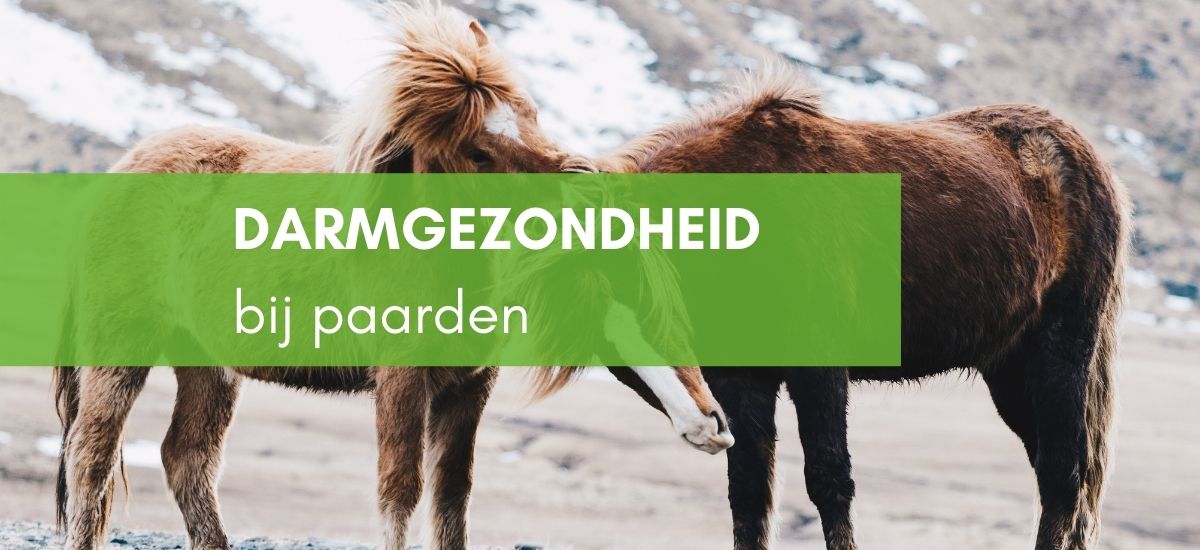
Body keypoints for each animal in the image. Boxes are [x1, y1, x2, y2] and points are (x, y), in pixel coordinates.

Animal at [51, 4, 732, 550]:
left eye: (531, 111)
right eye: (478, 151)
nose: (587, 184)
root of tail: (122, 168)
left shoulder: (468, 387)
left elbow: (452, 498)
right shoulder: (402, 379)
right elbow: (400, 490)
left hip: (207, 364)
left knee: (187, 457)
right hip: (121, 352)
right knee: (92, 455)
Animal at [601, 63, 1128, 550]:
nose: (705, 427)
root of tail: (1084, 156)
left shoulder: (819, 367)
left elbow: (829, 480)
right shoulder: (740, 380)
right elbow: (750, 496)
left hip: (1061, 348)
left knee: (1063, 476)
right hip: (1009, 369)